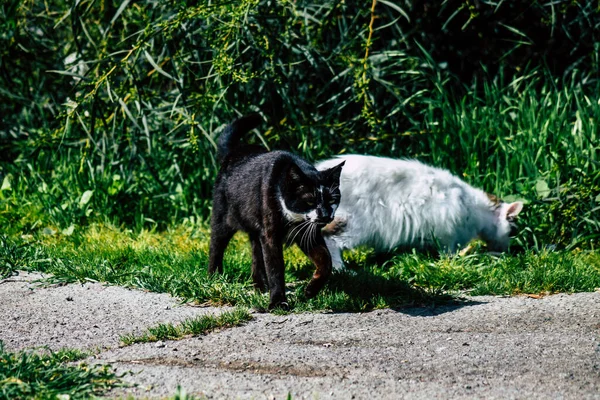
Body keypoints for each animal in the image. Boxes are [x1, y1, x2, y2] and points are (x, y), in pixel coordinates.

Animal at [209, 114, 344, 310]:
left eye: (332, 200)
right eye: (310, 201)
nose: (326, 215)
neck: (293, 218)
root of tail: (234, 152)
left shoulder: (307, 232)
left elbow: (326, 260)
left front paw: (310, 290)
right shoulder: (270, 234)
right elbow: (275, 268)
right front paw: (278, 301)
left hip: (256, 229)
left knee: (256, 256)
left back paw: (260, 287)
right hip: (223, 219)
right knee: (216, 247)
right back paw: (214, 279)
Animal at [316, 155, 524, 270]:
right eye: (512, 232)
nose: (506, 250)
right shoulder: (448, 234)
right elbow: (449, 253)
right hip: (355, 224)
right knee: (329, 238)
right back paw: (341, 269)